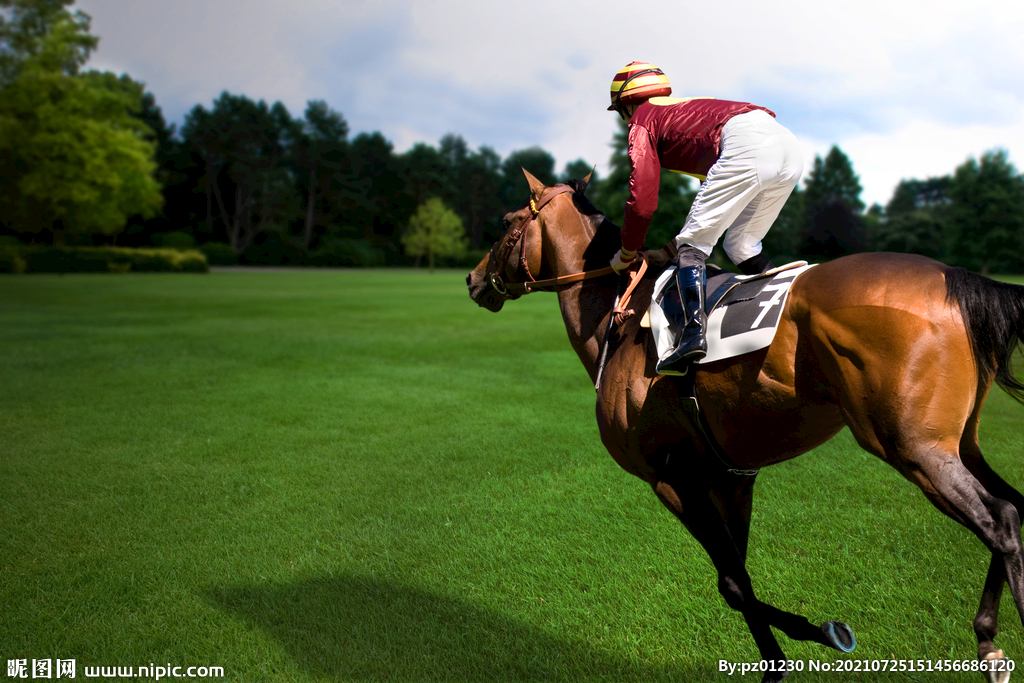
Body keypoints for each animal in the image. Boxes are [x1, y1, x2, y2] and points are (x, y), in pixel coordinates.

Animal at [468, 169, 1024, 683]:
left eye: (507, 223)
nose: (473, 280)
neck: (617, 320)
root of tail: (956, 278)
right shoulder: (730, 477)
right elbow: (739, 576)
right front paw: (784, 656)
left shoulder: (670, 476)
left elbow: (732, 583)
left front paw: (817, 635)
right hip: (959, 443)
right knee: (1015, 505)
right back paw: (986, 640)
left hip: (913, 446)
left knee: (999, 521)